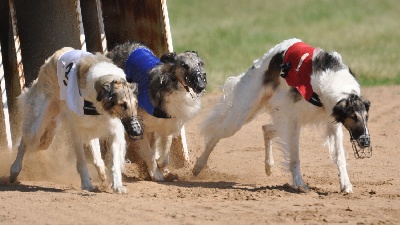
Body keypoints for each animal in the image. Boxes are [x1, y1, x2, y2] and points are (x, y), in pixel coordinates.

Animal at [8, 46, 144, 192]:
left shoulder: (113, 129)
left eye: (136, 103)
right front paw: (86, 184)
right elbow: (82, 161)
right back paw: (14, 170)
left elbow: (114, 162)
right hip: (38, 127)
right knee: (25, 141)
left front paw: (117, 185)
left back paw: (101, 171)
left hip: (52, 134)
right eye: (122, 105)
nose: (137, 132)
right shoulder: (77, 130)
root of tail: (56, 54)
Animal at [104, 42, 206, 181]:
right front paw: (155, 173)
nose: (201, 86)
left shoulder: (167, 125)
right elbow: (149, 153)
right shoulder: (141, 126)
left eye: (200, 63)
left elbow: (164, 154)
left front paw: (161, 166)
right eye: (184, 65)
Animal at [192, 37, 370, 192]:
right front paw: (299, 184)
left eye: (366, 117)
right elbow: (295, 157)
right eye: (353, 117)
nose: (366, 142)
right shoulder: (293, 120)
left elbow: (340, 156)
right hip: (241, 116)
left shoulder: (331, 121)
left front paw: (346, 185)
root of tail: (263, 60)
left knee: (266, 128)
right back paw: (198, 166)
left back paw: (269, 166)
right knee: (216, 135)